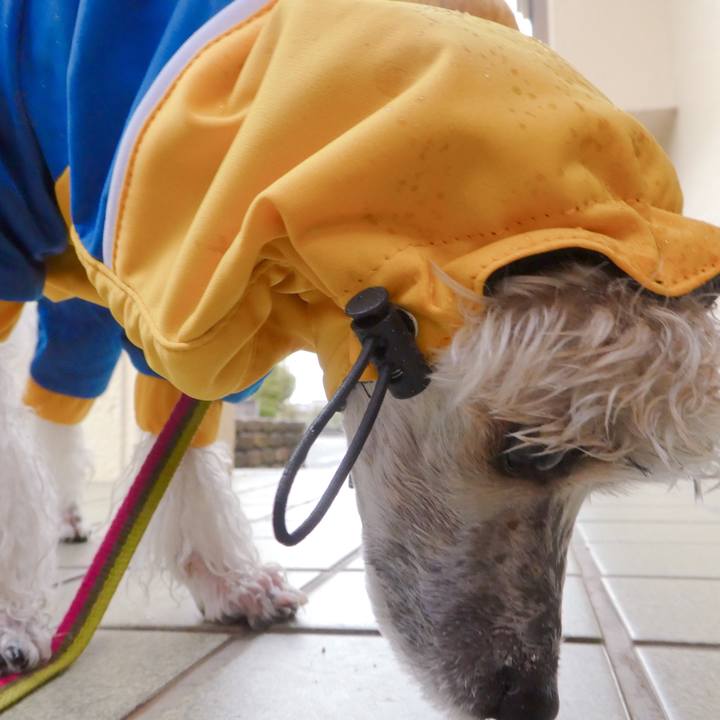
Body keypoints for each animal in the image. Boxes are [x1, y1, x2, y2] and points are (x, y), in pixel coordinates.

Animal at [2, 1, 720, 719]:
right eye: (531, 454)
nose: (529, 702)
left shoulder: (173, 293)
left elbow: (182, 446)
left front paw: (231, 582)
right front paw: (13, 620)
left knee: (56, 406)